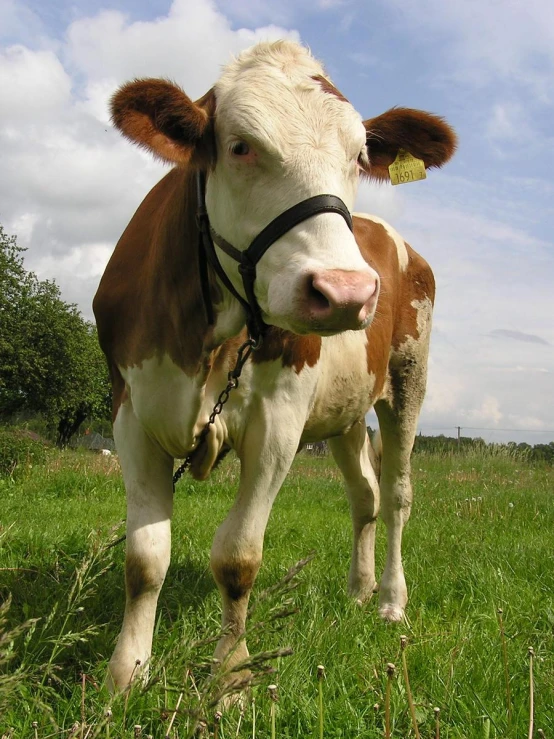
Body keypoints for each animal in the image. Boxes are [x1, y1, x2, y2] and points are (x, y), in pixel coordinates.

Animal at [94, 40, 452, 692]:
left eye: (359, 155)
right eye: (240, 146)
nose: (346, 291)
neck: (202, 338)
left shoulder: (279, 421)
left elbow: (238, 556)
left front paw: (231, 677)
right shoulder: (130, 411)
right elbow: (144, 558)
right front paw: (126, 675)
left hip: (408, 380)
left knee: (396, 493)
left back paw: (391, 600)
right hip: (345, 412)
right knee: (363, 496)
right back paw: (358, 591)